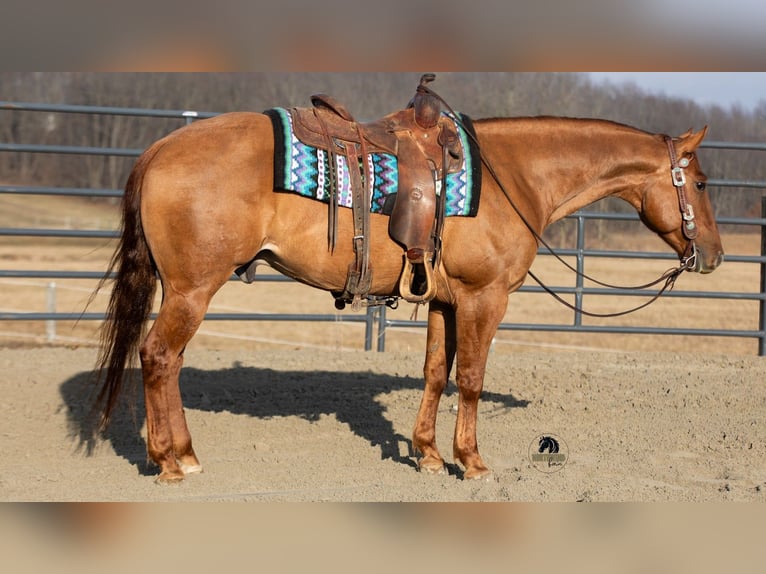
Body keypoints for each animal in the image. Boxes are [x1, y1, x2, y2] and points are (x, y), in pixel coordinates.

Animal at [93, 110, 723, 483]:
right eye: (698, 183)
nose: (714, 255)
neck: (513, 176)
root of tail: (159, 148)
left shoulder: (446, 302)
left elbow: (436, 375)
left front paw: (427, 453)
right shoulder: (484, 300)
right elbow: (471, 379)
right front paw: (471, 462)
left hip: (185, 290)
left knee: (170, 363)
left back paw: (186, 454)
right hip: (192, 290)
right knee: (158, 357)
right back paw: (168, 462)